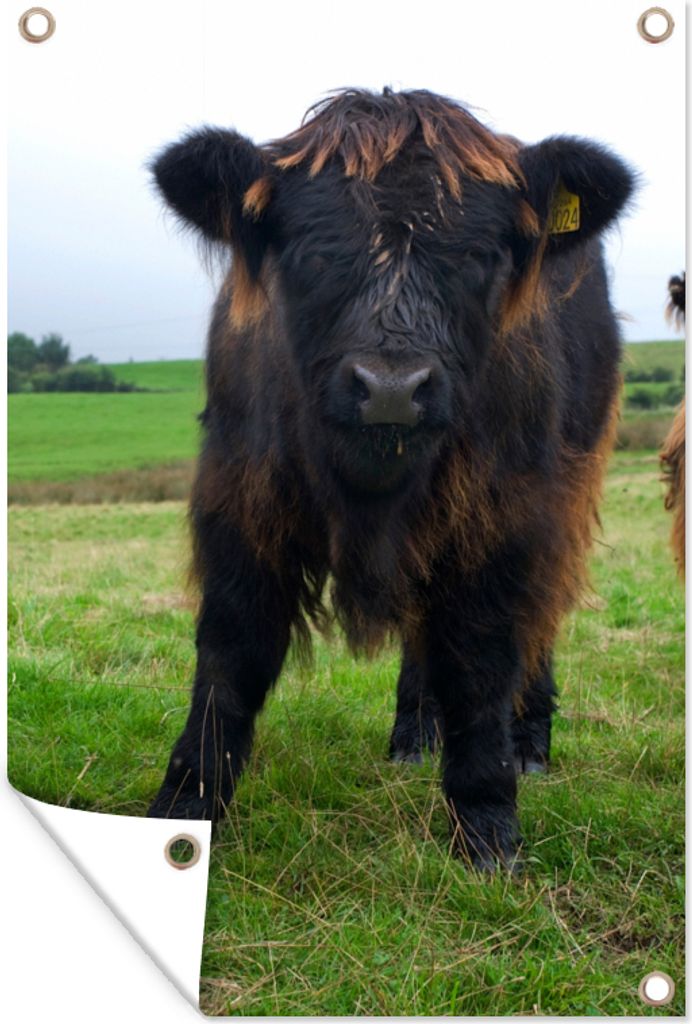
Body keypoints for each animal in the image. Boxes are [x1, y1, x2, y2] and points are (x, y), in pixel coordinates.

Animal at [147, 89, 635, 870]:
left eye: (479, 257)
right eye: (313, 251)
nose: (391, 389)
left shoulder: (506, 518)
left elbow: (483, 658)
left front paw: (488, 826)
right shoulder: (239, 500)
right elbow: (230, 651)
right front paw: (184, 807)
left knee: (539, 621)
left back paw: (529, 743)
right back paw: (413, 733)